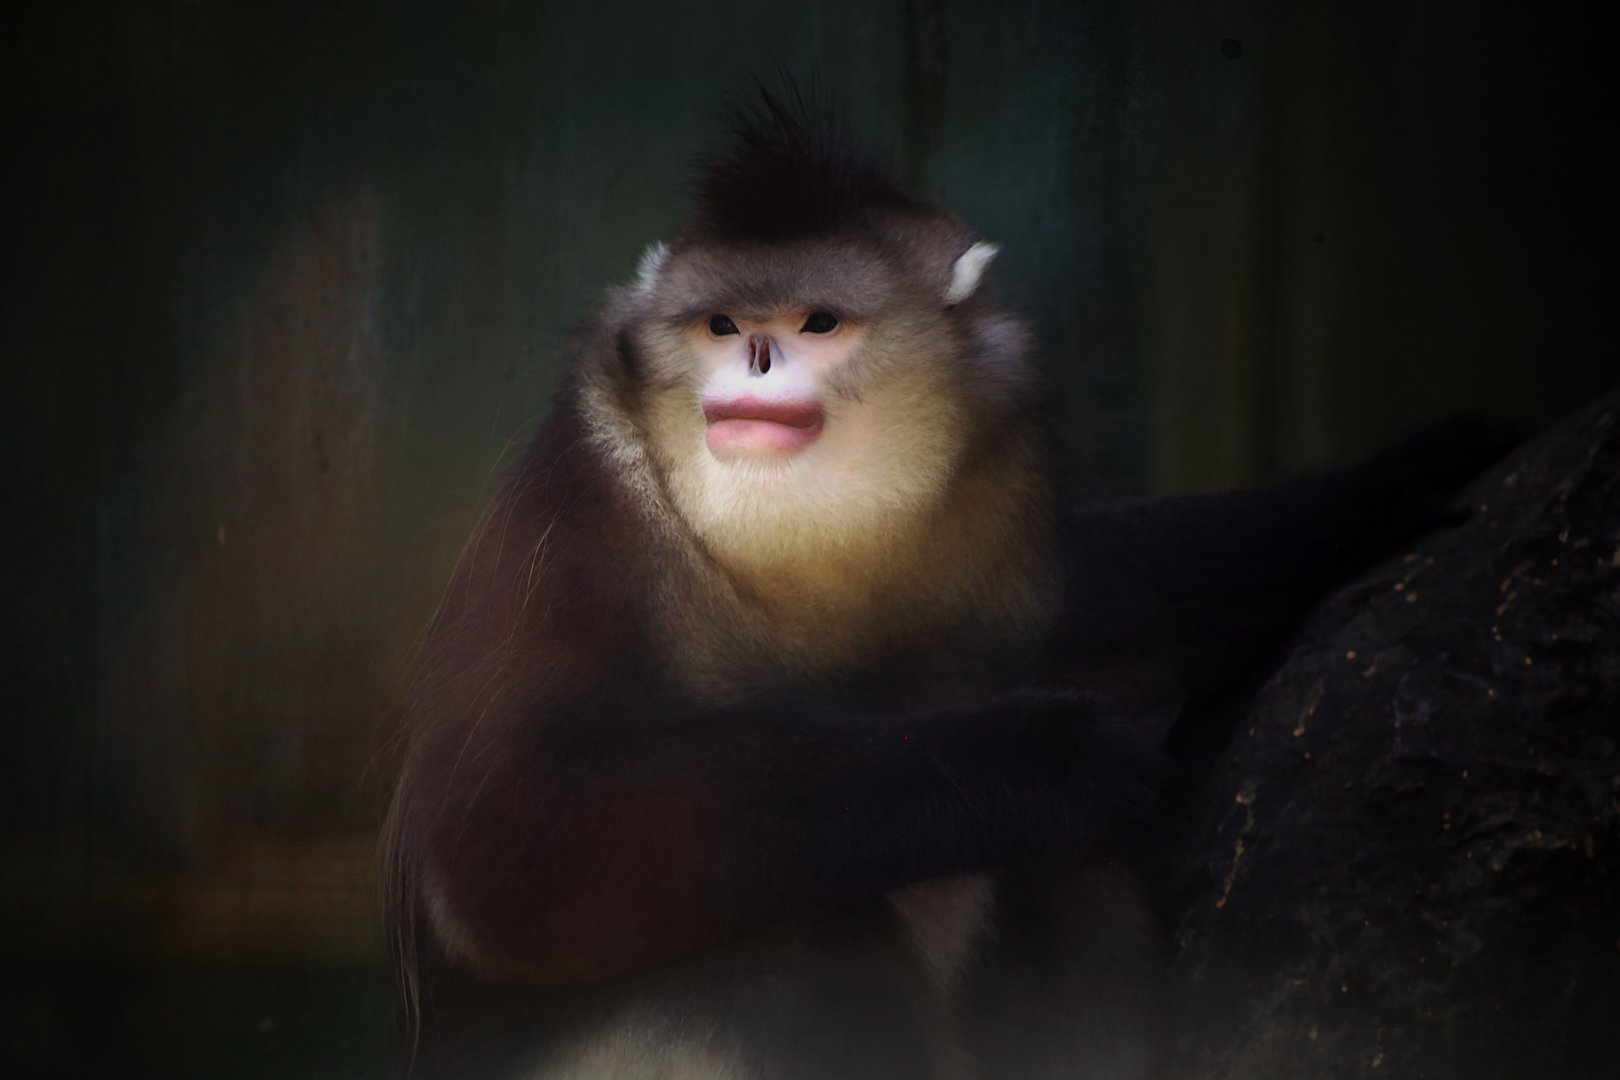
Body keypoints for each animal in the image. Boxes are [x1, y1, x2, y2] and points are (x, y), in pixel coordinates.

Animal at [383, 89, 1512, 1079]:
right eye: (719, 325)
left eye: (818, 321)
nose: (755, 361)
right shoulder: (578, 514)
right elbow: (510, 841)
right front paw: (1051, 758)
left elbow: (1081, 612)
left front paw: (1391, 487)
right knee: (792, 941)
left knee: (1073, 884)